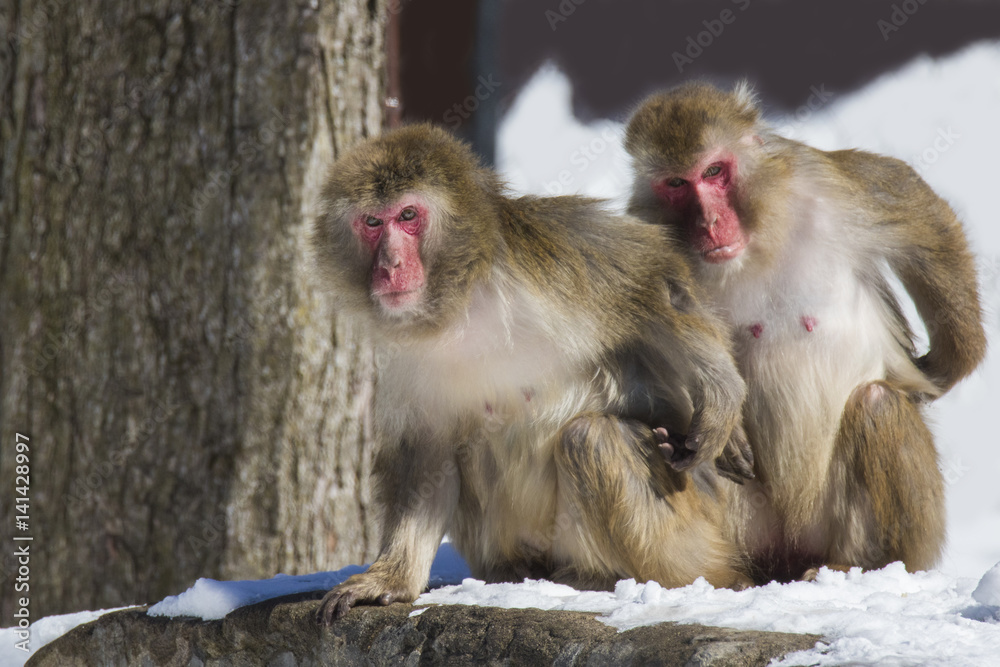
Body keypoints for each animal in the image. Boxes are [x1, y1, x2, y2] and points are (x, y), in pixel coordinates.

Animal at [309, 124, 756, 624]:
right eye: (372, 223)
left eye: (408, 216)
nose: (390, 265)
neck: (462, 306)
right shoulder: (406, 355)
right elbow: (424, 455)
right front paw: (389, 579)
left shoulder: (551, 255)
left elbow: (654, 278)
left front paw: (722, 397)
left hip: (697, 536)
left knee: (591, 439)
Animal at [624, 81, 987, 583]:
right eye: (677, 184)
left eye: (714, 171)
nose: (710, 222)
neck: (753, 244)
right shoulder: (643, 240)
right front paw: (724, 424)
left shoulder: (825, 185)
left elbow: (917, 212)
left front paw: (949, 365)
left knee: (877, 405)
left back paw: (861, 565)